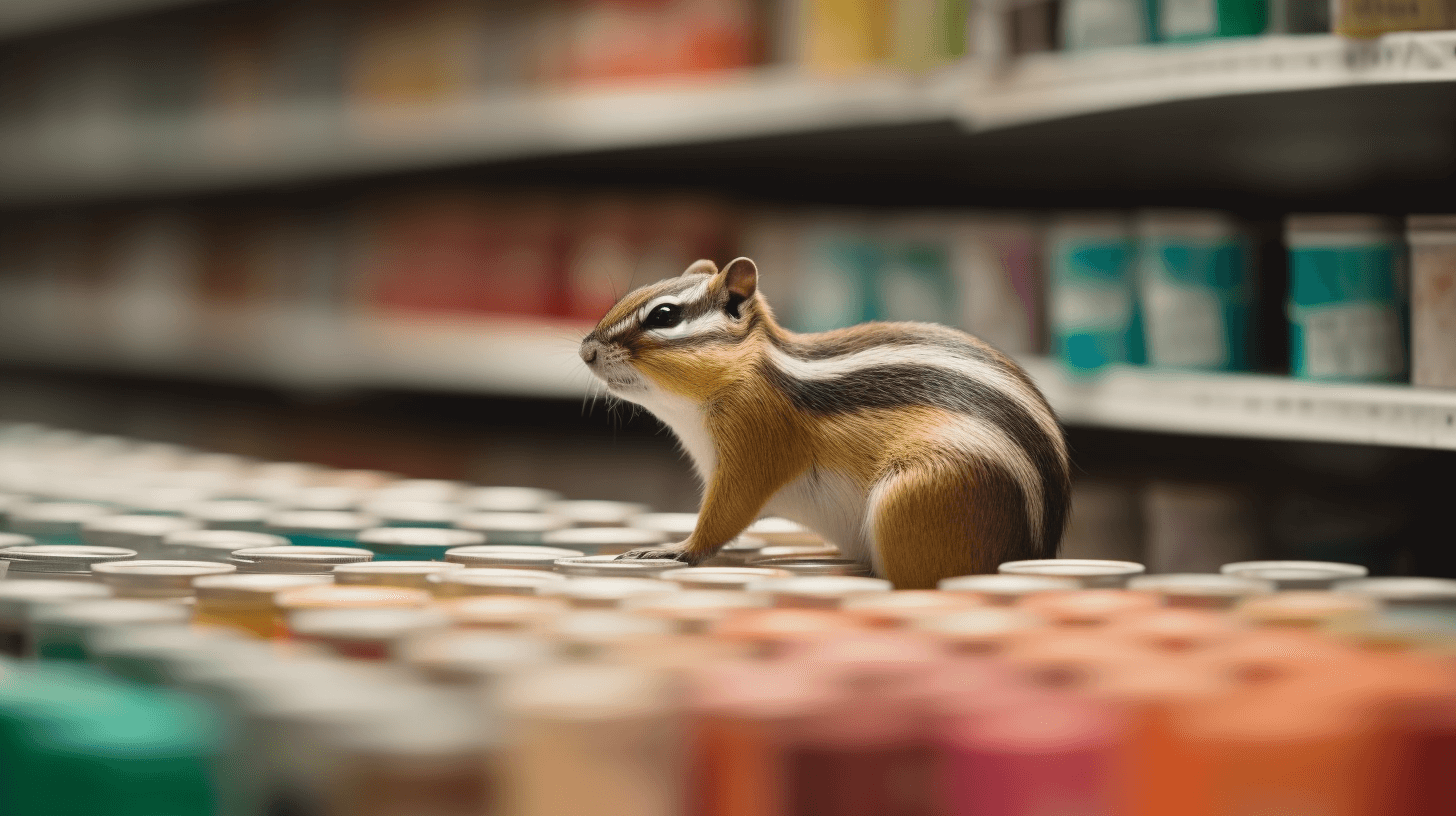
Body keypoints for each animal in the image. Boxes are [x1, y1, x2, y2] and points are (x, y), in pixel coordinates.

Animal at [578, 257, 1070, 589]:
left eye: (664, 315)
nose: (585, 350)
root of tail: (1034, 550)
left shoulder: (754, 444)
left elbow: (726, 513)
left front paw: (677, 548)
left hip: (916, 494)